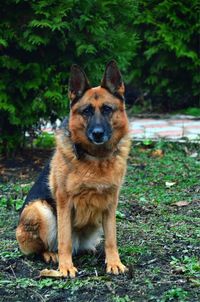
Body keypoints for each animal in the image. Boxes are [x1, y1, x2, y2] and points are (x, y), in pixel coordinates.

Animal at [16, 60, 131, 278]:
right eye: (86, 111)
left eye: (107, 109)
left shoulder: (111, 202)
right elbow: (64, 239)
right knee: (48, 245)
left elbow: (112, 239)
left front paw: (114, 262)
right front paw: (65, 266)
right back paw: (51, 254)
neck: (96, 157)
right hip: (40, 210)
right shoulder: (64, 202)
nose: (97, 134)